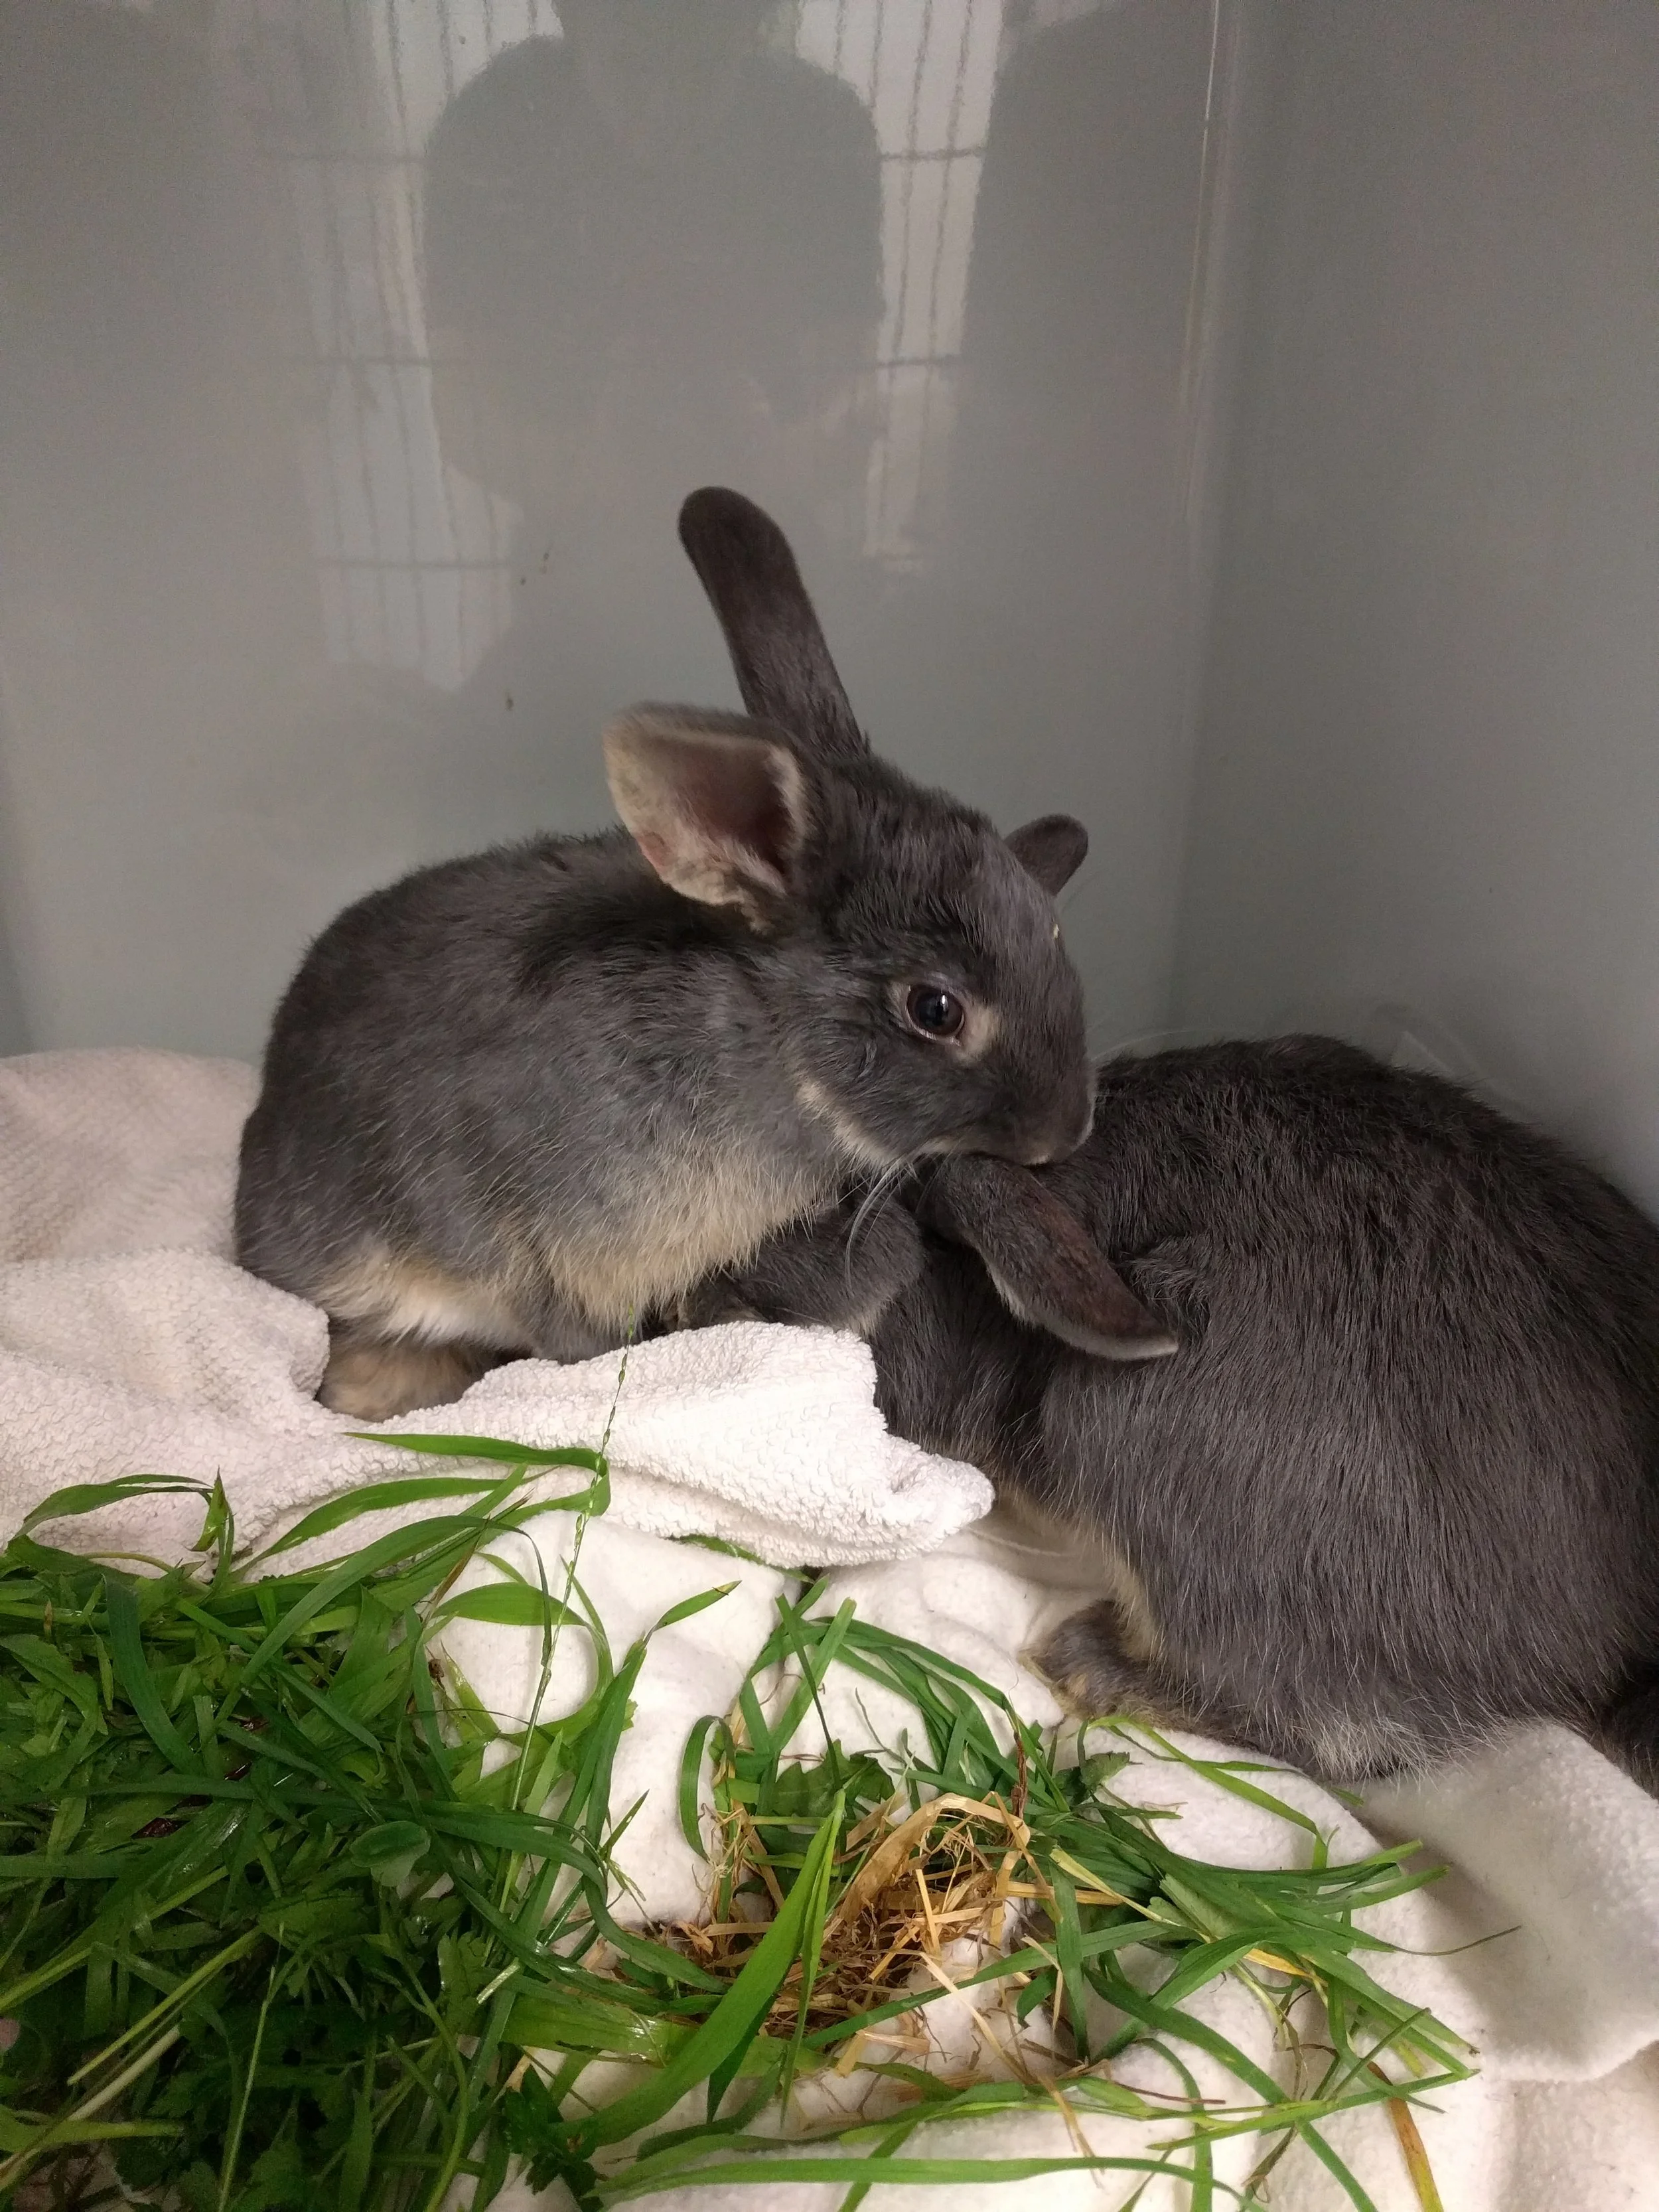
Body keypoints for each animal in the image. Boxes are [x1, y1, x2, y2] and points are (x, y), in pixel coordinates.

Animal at [233, 487, 1095, 1421]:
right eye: (935, 1008)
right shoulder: (542, 1241)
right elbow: (568, 1325)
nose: (1067, 1133)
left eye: (1055, 939)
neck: (767, 1049)